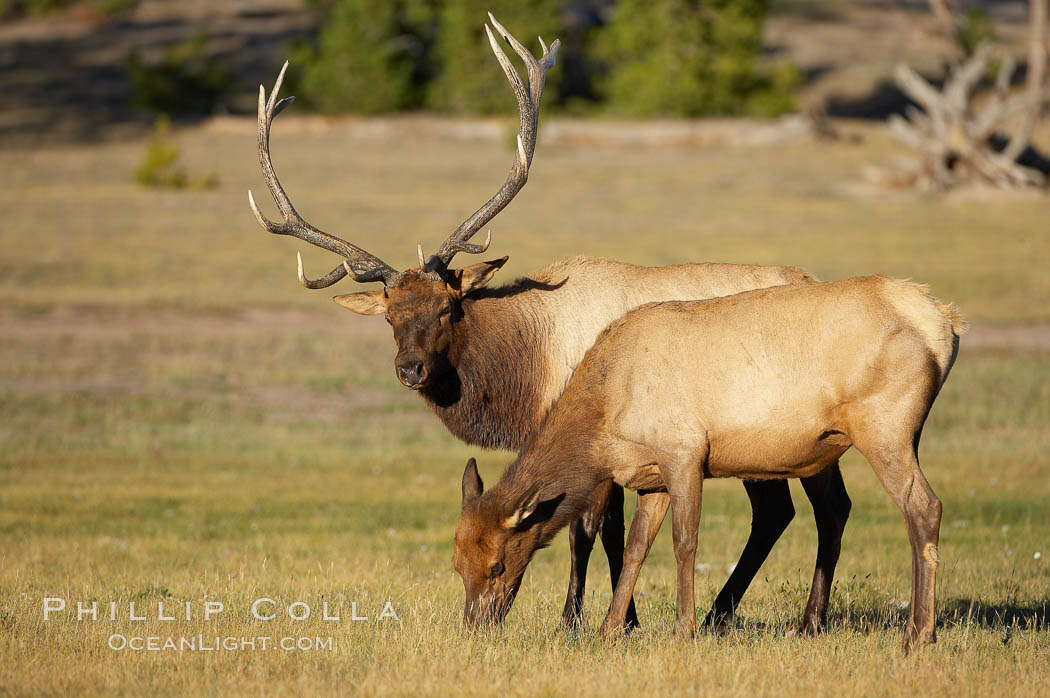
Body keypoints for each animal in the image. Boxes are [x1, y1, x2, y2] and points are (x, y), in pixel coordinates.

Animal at [251, 14, 852, 629]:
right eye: (391, 316)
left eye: (447, 307)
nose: (411, 369)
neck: (525, 369)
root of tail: (809, 276)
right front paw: (620, 617)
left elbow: (590, 530)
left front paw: (586, 618)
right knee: (792, 511)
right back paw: (735, 614)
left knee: (812, 509)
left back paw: (785, 617)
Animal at [455, 277, 961, 654]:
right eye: (458, 565)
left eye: (498, 564)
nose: (476, 627)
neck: (605, 417)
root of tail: (946, 324)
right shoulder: (651, 477)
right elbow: (636, 547)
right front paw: (609, 629)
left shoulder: (685, 452)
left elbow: (684, 543)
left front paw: (684, 629)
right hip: (882, 438)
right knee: (849, 510)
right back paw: (820, 625)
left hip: (885, 426)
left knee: (923, 507)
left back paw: (918, 634)